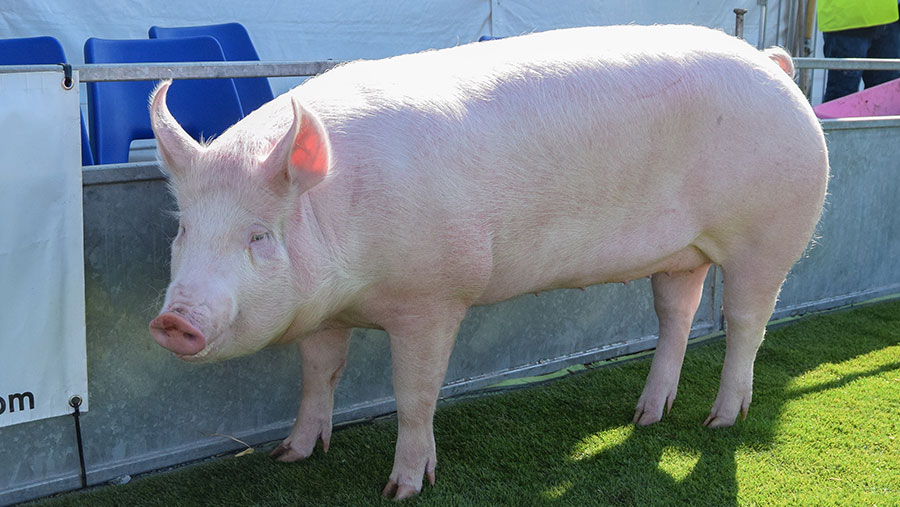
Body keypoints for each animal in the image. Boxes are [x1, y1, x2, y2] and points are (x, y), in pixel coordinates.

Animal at [148, 24, 828, 500]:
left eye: (259, 236)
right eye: (184, 229)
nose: (171, 321)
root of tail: (774, 64)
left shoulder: (434, 296)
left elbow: (415, 392)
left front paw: (402, 489)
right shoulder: (323, 311)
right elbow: (319, 375)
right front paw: (291, 454)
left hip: (770, 234)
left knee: (746, 324)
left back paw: (719, 421)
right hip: (681, 255)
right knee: (677, 317)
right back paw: (644, 418)